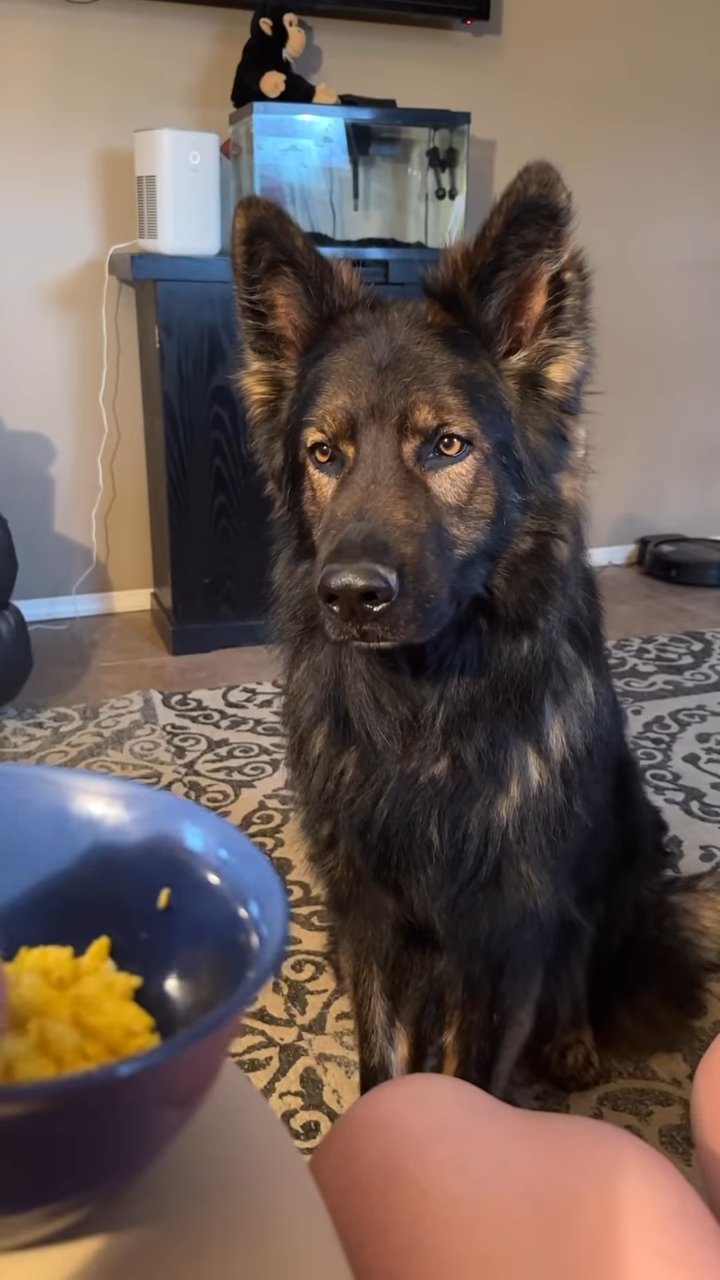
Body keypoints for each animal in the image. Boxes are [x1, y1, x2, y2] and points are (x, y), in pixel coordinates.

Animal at [230, 165, 717, 1095]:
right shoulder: (369, 913)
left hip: (629, 828)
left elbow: (474, 1070)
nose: (349, 596)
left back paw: (572, 1037)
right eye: (324, 454)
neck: (423, 710)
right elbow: (385, 1061)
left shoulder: (505, 926)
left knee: (582, 948)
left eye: (446, 446)